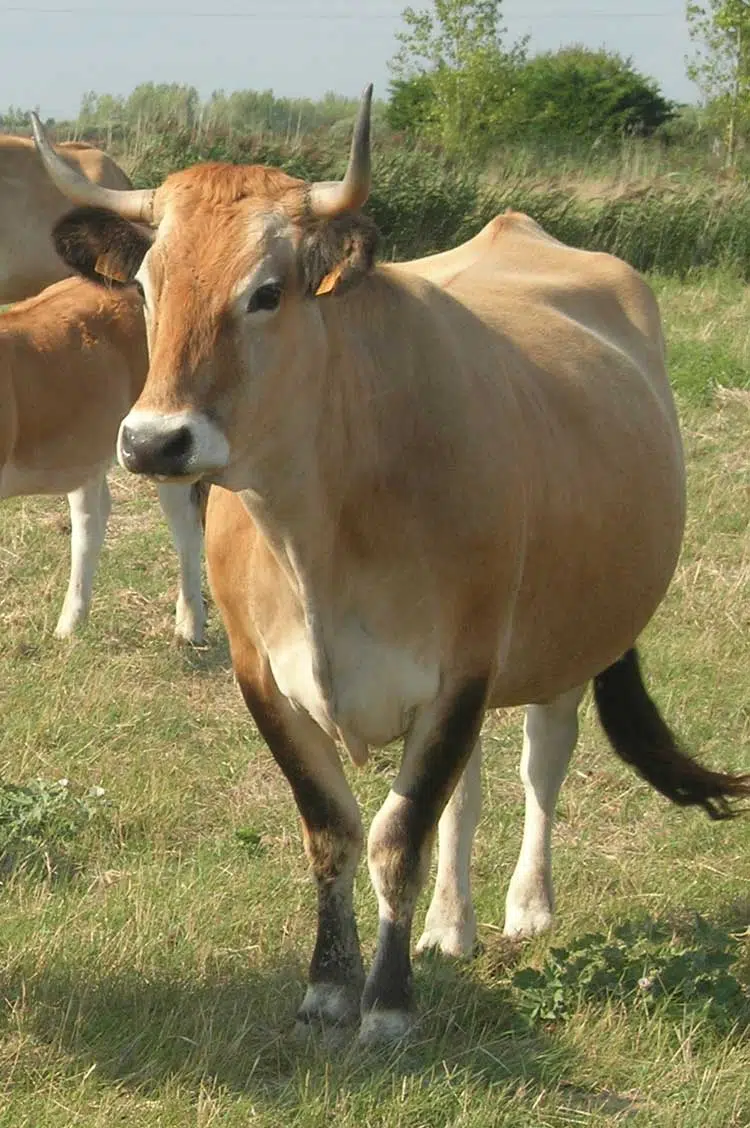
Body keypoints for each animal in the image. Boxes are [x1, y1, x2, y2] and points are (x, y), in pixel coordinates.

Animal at [30, 88, 750, 1045]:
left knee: (541, 763)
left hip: (564, 641)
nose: (154, 442)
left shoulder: (462, 670)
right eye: (147, 287)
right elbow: (335, 830)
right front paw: (329, 988)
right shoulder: (263, 674)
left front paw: (389, 1004)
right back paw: (451, 923)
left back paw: (529, 906)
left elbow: (398, 834)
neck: (320, 530)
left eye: (266, 293)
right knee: (468, 796)